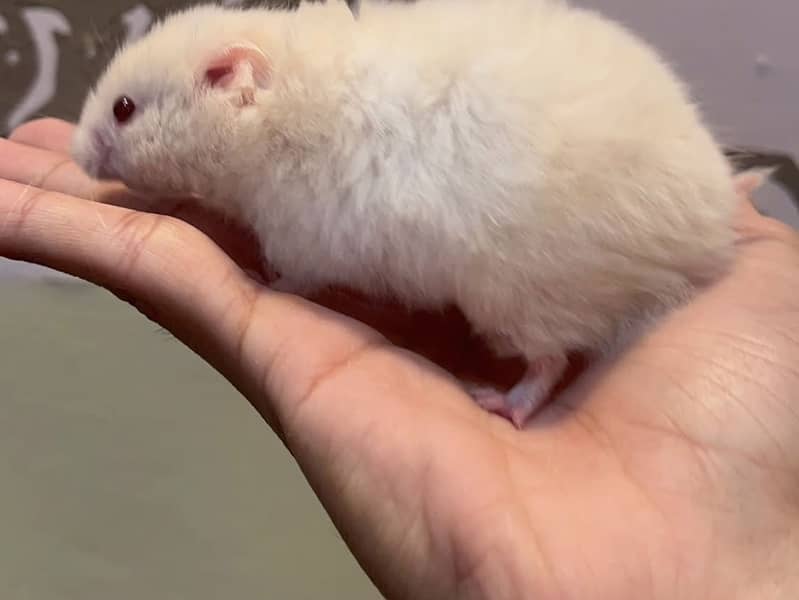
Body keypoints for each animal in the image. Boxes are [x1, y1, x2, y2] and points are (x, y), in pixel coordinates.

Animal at [72, 0, 750, 428]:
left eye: (125, 109)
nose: (76, 154)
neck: (273, 118)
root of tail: (710, 229)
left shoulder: (308, 240)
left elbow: (294, 276)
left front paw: (261, 279)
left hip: (520, 297)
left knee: (549, 363)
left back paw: (497, 402)